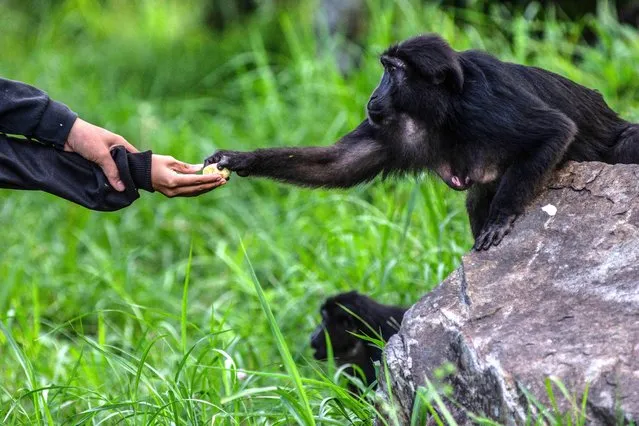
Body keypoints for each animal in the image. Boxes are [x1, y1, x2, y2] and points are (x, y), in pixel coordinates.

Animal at [206, 34, 639, 250]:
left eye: (393, 72)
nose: (372, 97)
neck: (443, 109)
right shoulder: (394, 126)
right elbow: (337, 164)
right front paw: (237, 159)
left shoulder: (484, 101)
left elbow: (555, 130)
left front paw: (501, 219)